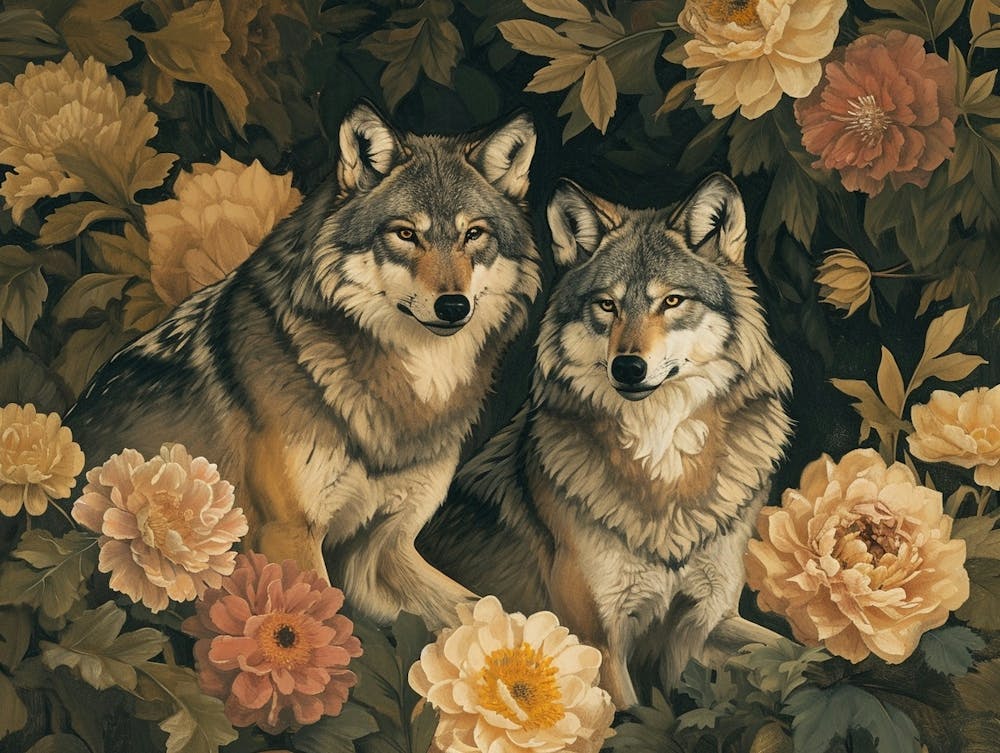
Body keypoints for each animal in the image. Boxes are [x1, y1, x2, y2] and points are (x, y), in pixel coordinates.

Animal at [64, 101, 542, 631]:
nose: (453, 306)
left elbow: (484, 613)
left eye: (474, 234)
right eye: (404, 234)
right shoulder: (289, 534)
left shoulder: (381, 551)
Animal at [419, 174, 793, 706]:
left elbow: (782, 653)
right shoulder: (598, 640)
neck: (663, 461)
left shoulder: (703, 621)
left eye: (671, 301)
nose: (628, 367)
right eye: (607, 305)